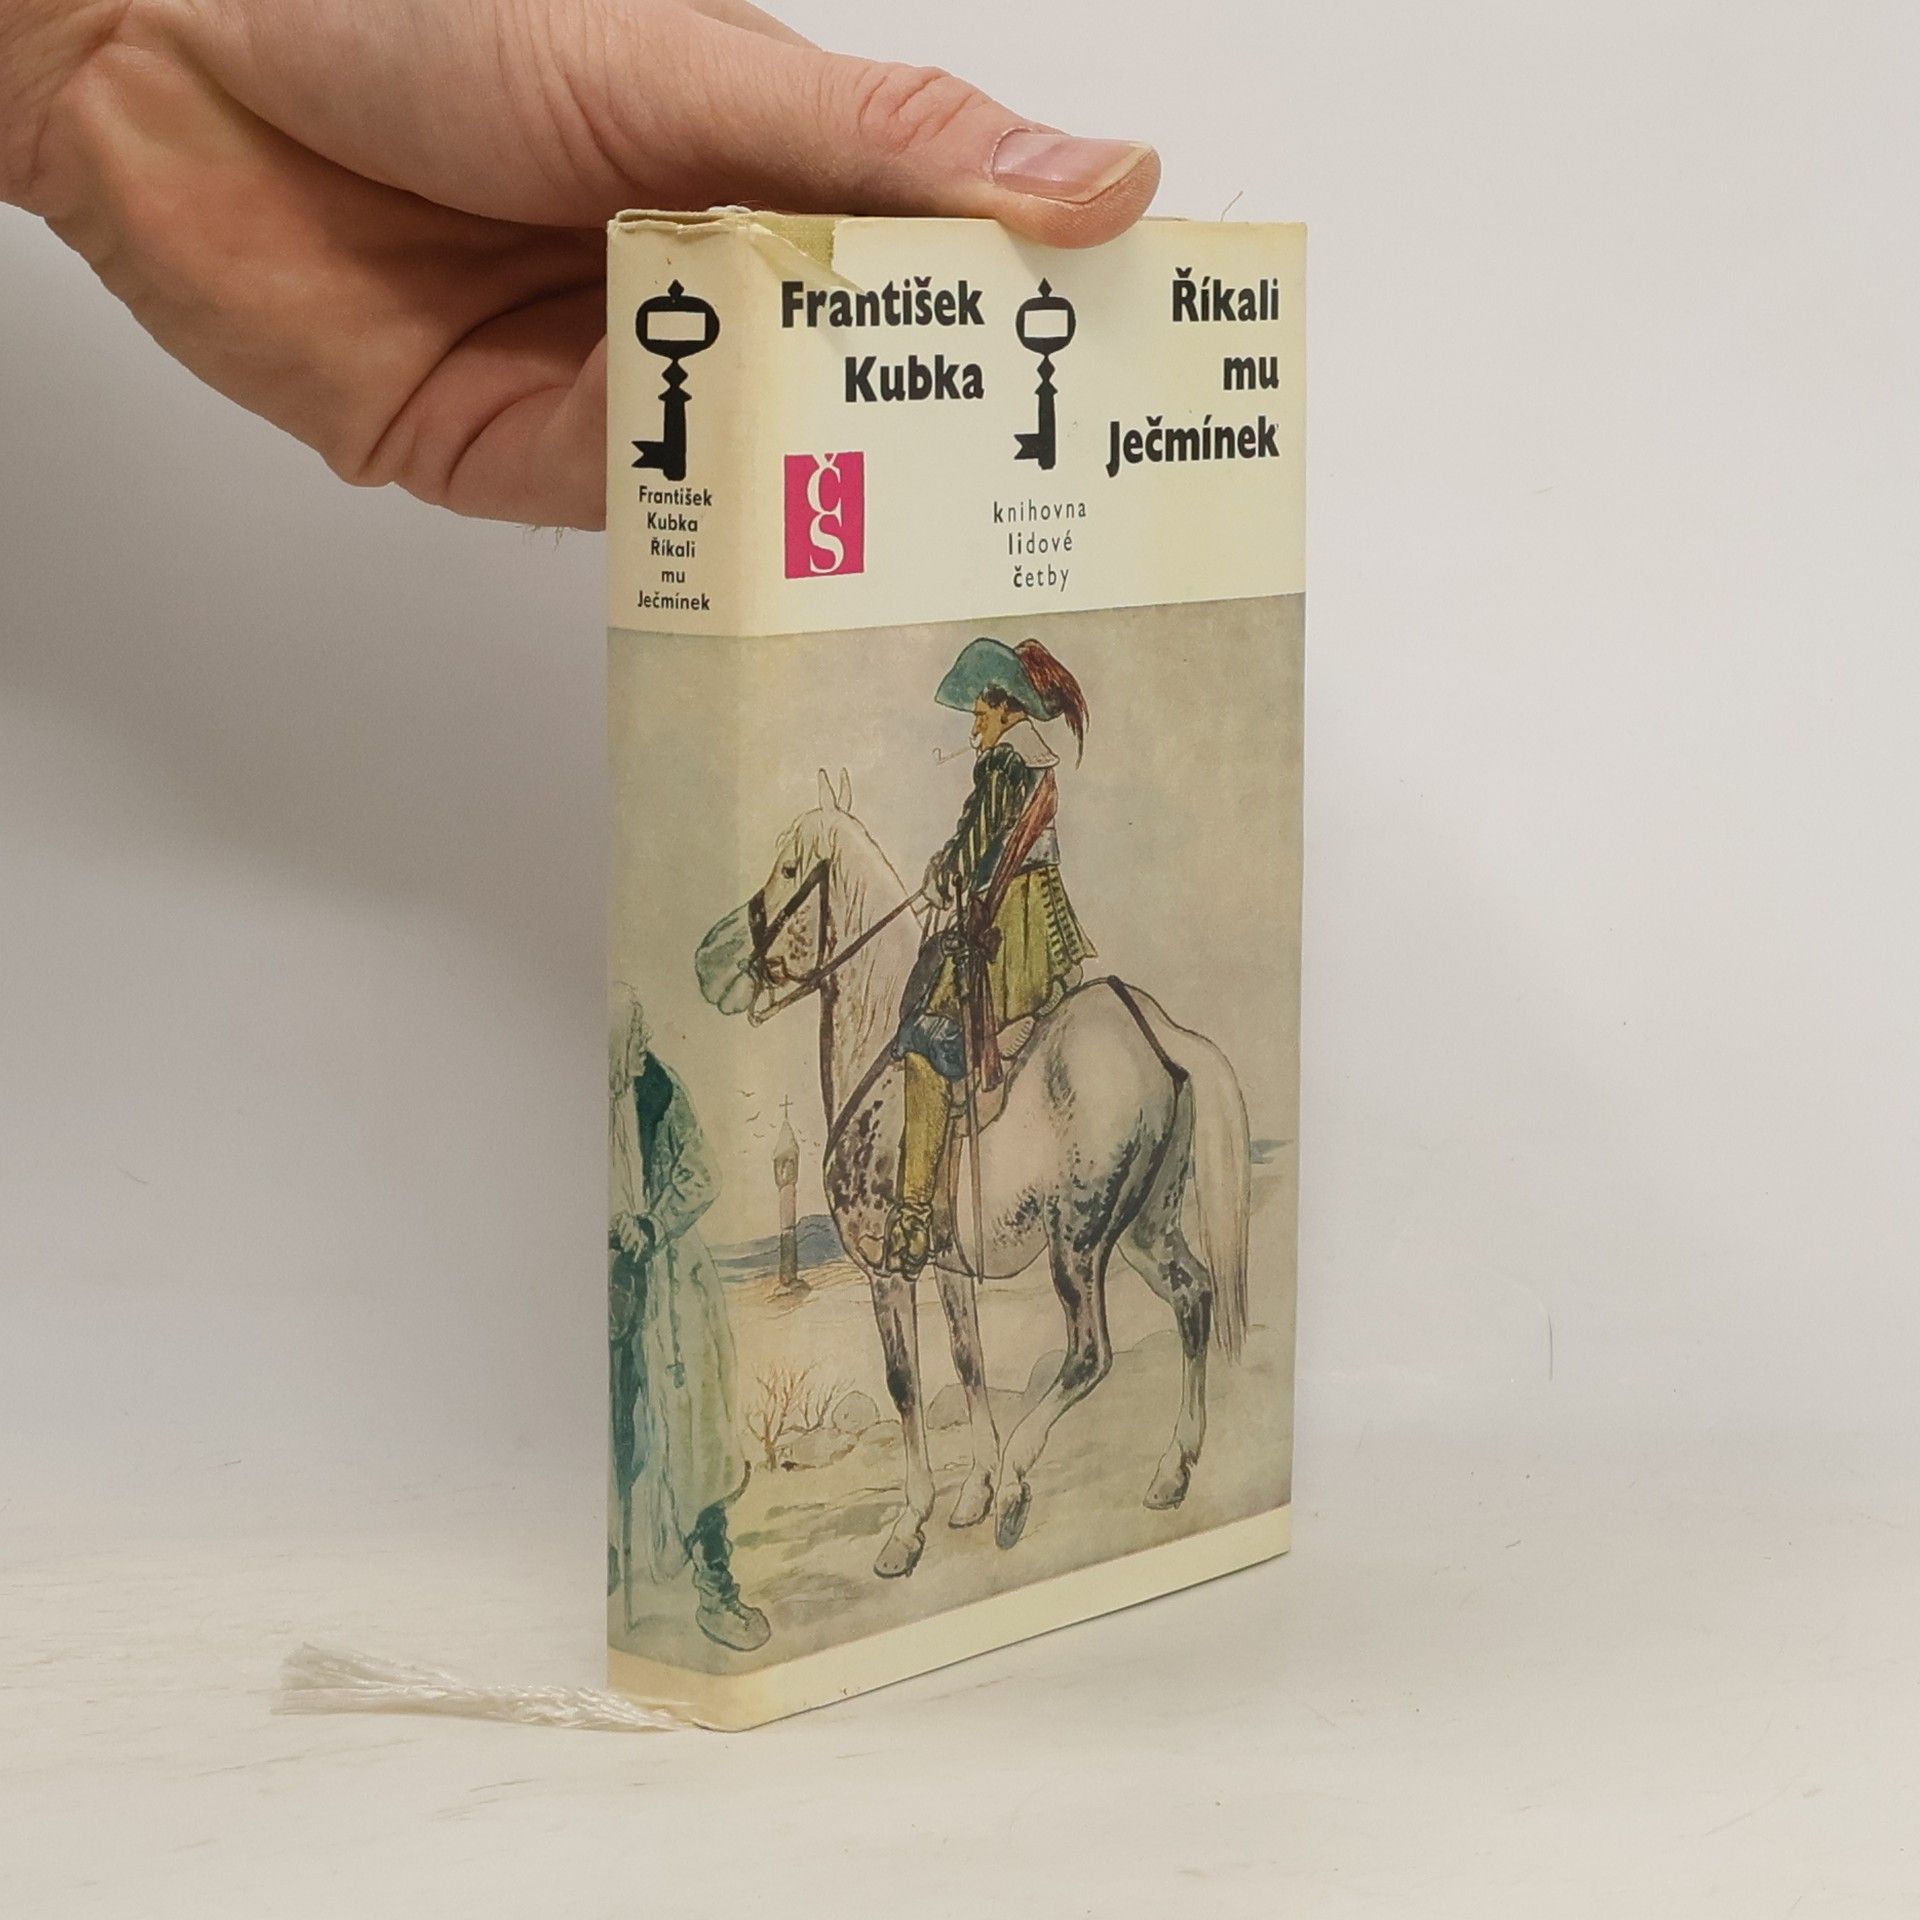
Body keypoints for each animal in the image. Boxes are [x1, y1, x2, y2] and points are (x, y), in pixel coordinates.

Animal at [695, 769, 1253, 1580]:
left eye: (792, 868)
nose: (707, 962)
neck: (882, 1042)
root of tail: (1159, 1030)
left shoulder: (886, 1273)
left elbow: (904, 1384)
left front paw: (912, 1524)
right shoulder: (949, 1266)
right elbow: (969, 1361)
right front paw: (973, 1491)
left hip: (1078, 1241)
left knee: (1091, 1352)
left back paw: (1024, 1480)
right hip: (1145, 1229)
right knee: (1194, 1295)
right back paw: (1172, 1469)